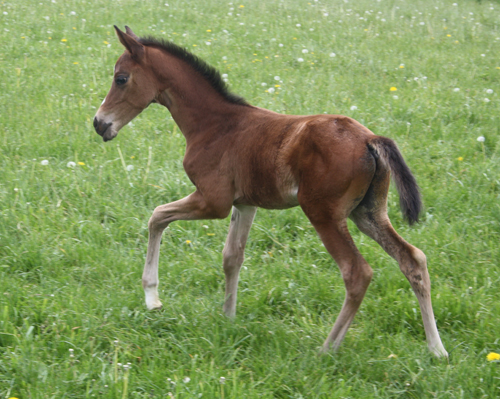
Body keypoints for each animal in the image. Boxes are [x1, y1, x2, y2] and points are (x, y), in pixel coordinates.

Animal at [94, 25, 450, 360]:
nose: (99, 124)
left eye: (121, 78)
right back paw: (436, 349)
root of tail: (369, 139)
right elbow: (232, 256)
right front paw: (228, 318)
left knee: (357, 272)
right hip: (368, 213)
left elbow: (157, 217)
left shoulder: (213, 201)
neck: (214, 124)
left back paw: (327, 349)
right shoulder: (244, 204)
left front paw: (152, 297)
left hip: (324, 214)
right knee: (413, 259)